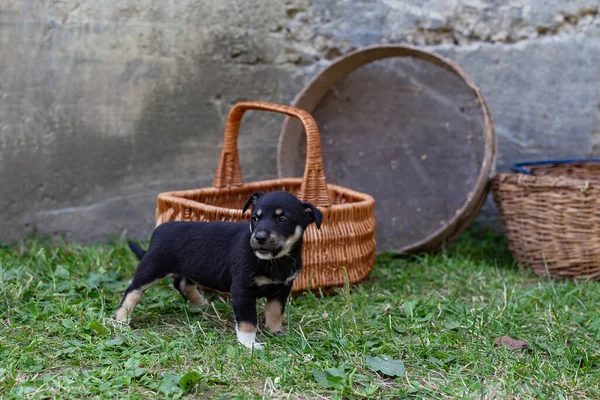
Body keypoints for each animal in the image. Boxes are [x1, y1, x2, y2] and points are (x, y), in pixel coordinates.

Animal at [117, 191, 324, 350]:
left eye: (282, 219)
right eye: (254, 218)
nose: (259, 238)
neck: (274, 261)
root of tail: (159, 230)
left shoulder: (282, 289)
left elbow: (274, 312)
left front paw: (276, 332)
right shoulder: (242, 290)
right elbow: (248, 321)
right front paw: (250, 344)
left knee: (182, 283)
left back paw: (201, 304)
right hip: (152, 267)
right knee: (132, 291)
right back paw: (121, 320)